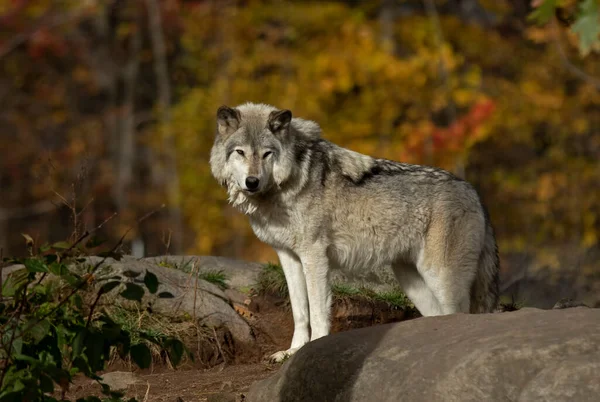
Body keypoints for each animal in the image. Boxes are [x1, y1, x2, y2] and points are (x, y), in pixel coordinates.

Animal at [209, 103, 500, 362]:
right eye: (240, 152)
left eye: (267, 154)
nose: (252, 182)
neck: (285, 185)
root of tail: (475, 193)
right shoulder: (288, 257)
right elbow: (300, 311)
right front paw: (292, 351)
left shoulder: (315, 255)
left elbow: (318, 310)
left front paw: (313, 347)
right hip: (413, 282)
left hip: (441, 278)